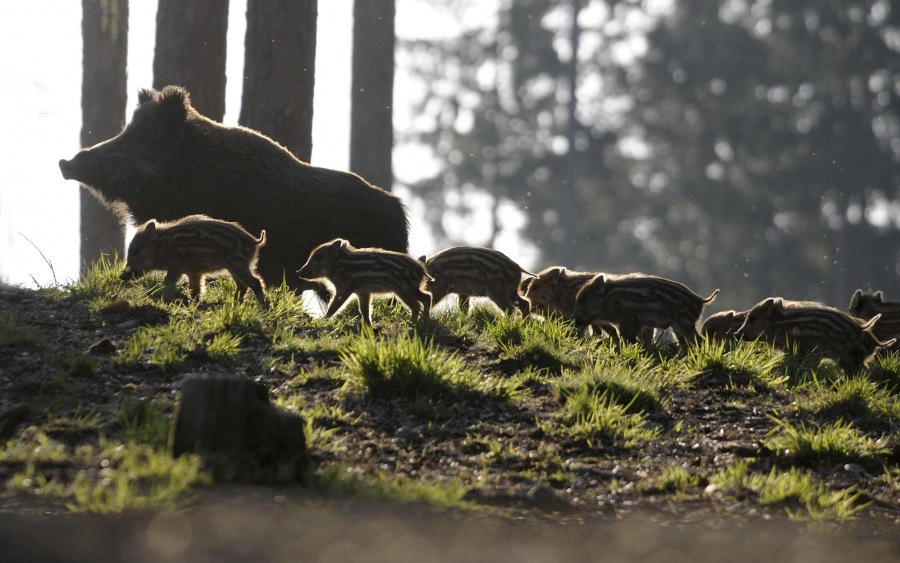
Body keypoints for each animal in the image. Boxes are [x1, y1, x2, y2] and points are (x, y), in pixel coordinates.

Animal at [120, 214, 266, 300]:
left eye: (135, 251)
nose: (122, 276)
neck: (163, 246)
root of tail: (254, 241)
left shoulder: (176, 267)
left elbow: (168, 282)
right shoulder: (194, 272)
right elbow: (195, 289)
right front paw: (194, 302)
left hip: (237, 264)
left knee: (255, 281)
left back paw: (261, 302)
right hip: (234, 267)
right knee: (243, 285)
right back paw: (233, 301)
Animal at [296, 239, 432, 325]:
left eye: (319, 257)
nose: (299, 272)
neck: (336, 266)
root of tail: (421, 269)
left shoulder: (344, 288)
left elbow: (334, 305)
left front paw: (323, 320)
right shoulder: (363, 292)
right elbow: (364, 310)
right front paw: (368, 325)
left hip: (403, 290)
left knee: (416, 305)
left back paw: (412, 321)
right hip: (412, 289)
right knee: (427, 297)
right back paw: (424, 319)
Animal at [573, 273, 719, 347]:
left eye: (583, 300)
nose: (574, 321)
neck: (610, 299)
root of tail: (700, 299)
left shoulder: (629, 319)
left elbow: (626, 336)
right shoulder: (644, 324)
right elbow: (646, 338)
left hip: (684, 323)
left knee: (700, 340)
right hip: (677, 327)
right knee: (685, 343)